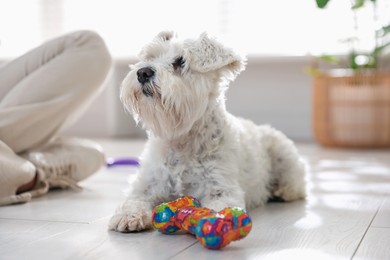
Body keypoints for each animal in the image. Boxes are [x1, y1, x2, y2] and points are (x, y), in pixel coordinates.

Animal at [108, 31, 306, 233]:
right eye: (150, 57)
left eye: (180, 61)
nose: (143, 72)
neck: (181, 140)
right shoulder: (146, 185)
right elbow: (134, 200)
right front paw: (129, 216)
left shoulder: (221, 188)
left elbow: (219, 206)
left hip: (283, 153)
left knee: (297, 182)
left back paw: (283, 191)